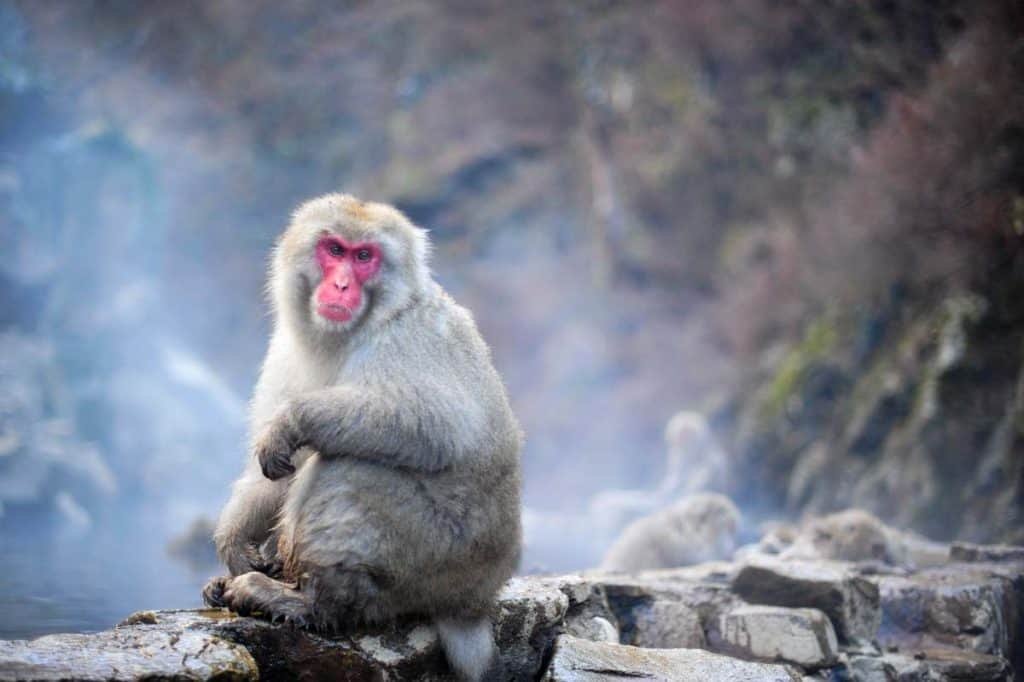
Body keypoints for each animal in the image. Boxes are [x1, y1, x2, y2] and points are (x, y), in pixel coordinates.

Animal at [201, 192, 520, 679]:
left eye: (364, 257)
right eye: (334, 249)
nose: (341, 286)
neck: (348, 333)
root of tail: (474, 601)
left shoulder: (410, 337)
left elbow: (438, 426)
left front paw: (292, 421)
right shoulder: (286, 351)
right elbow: (272, 472)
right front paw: (234, 540)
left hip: (436, 558)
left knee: (351, 467)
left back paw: (310, 604)